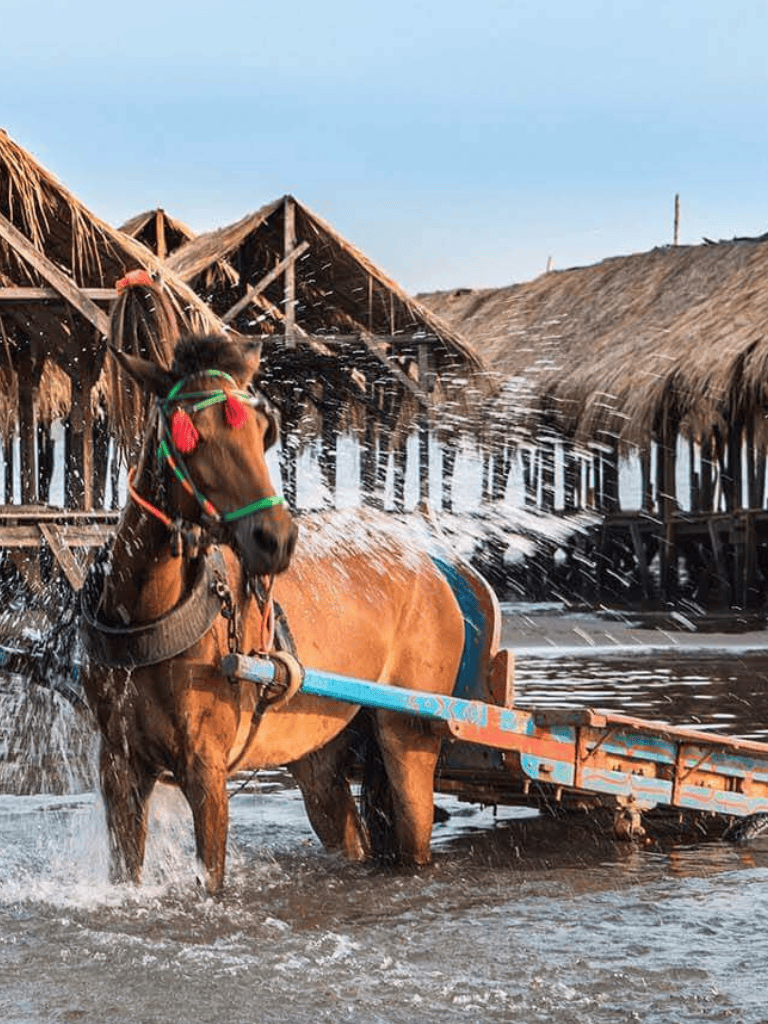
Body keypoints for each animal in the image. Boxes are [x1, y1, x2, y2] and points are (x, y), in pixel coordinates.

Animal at [81, 287, 465, 894]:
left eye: (264, 432)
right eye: (190, 434)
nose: (277, 538)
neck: (148, 616)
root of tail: (430, 567)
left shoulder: (207, 770)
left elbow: (211, 880)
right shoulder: (117, 766)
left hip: (411, 734)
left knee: (413, 830)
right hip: (321, 748)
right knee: (348, 830)